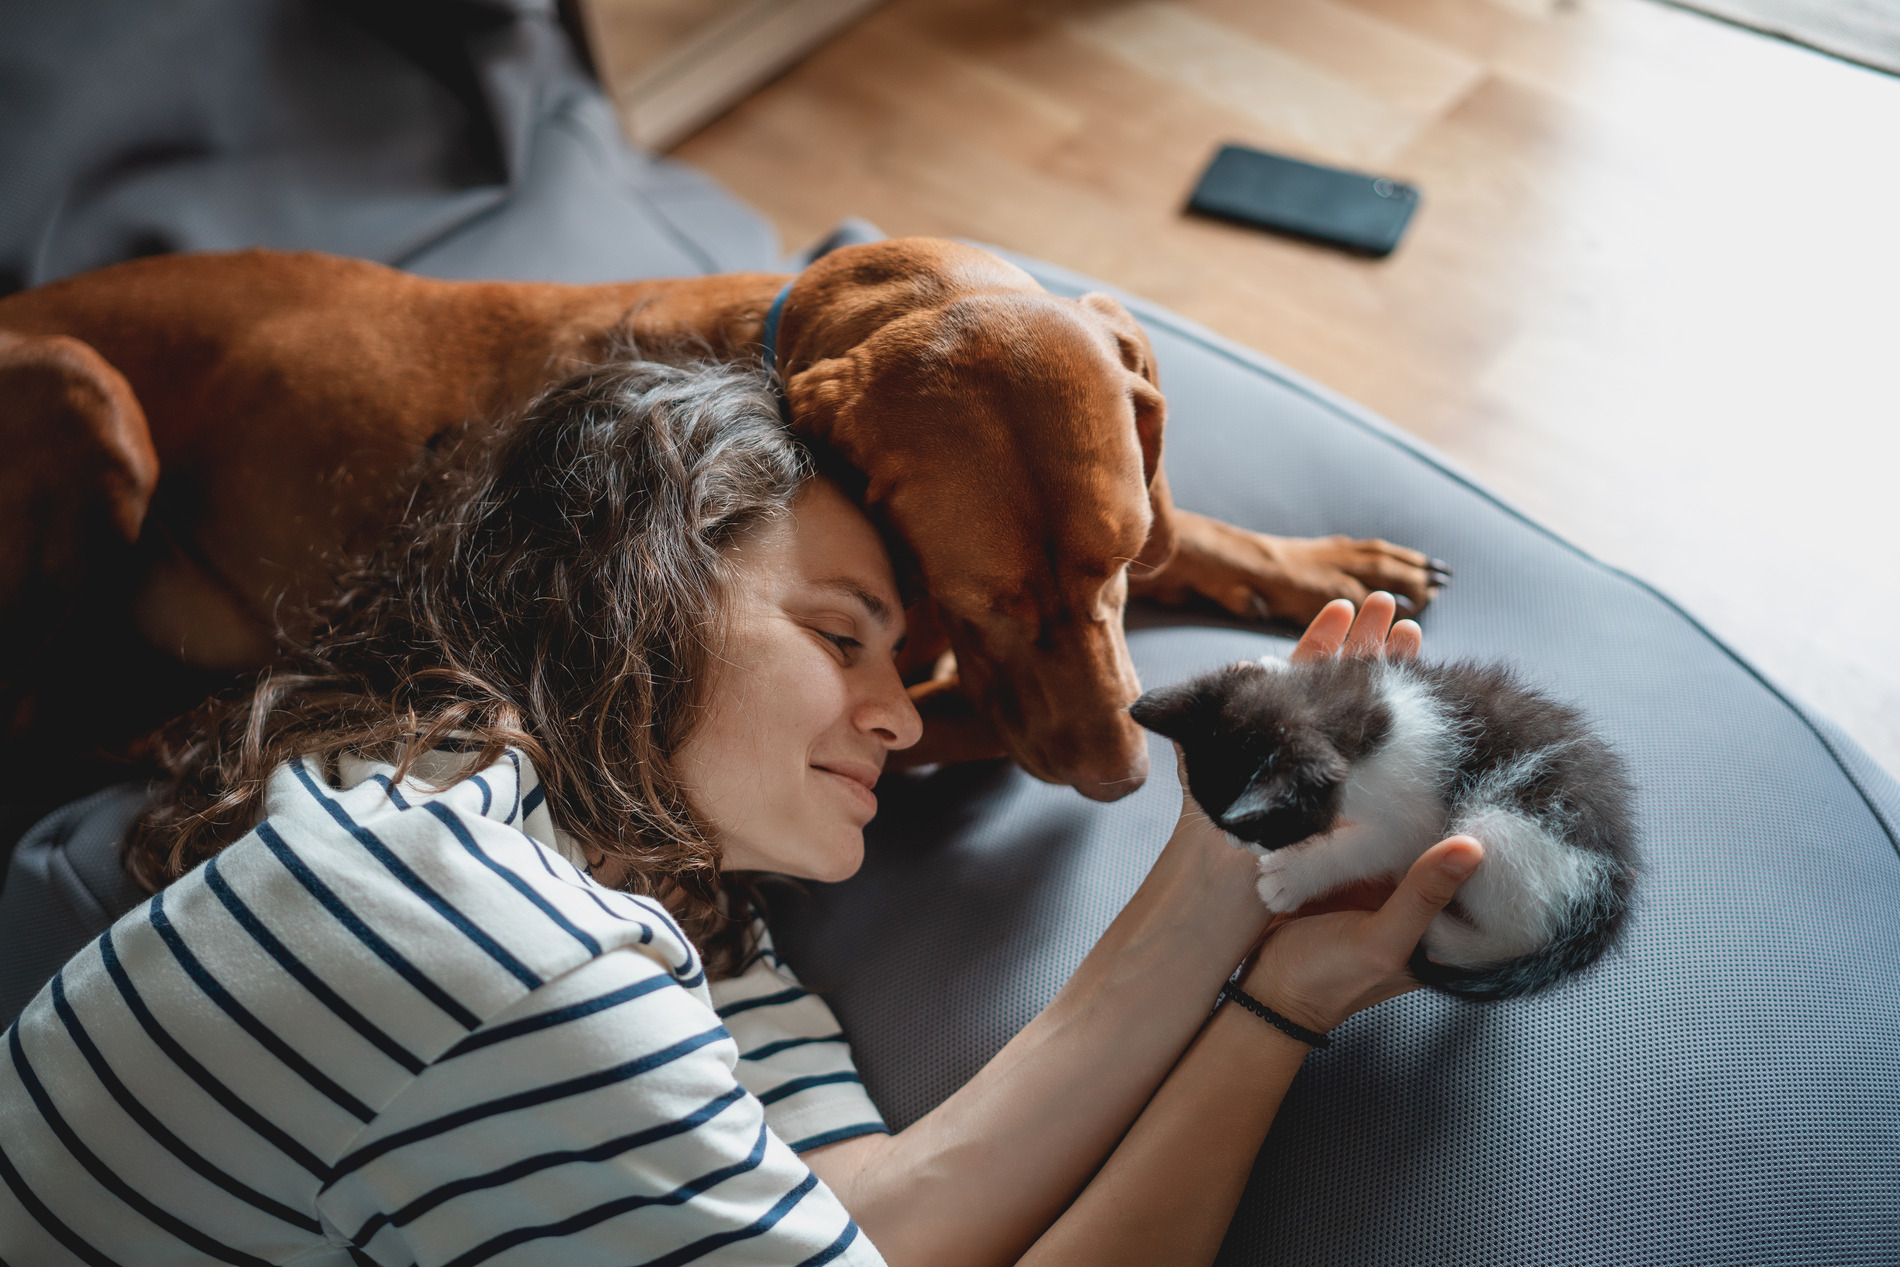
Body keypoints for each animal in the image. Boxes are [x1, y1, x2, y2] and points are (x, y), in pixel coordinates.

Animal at [0, 240, 1428, 801]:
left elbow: (1200, 528)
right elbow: (946, 721)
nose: (1123, 778)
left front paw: (1320, 558)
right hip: (88, 393)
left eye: (1119, 565)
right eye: (986, 600)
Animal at [1124, 653, 1634, 1002]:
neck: (1357, 715)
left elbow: (1374, 847)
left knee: (1518, 932)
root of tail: (1611, 896)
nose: (1234, 841)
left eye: (1261, 830)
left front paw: (1291, 876)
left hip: (1502, 826)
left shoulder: (1418, 818)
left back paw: (1443, 932)